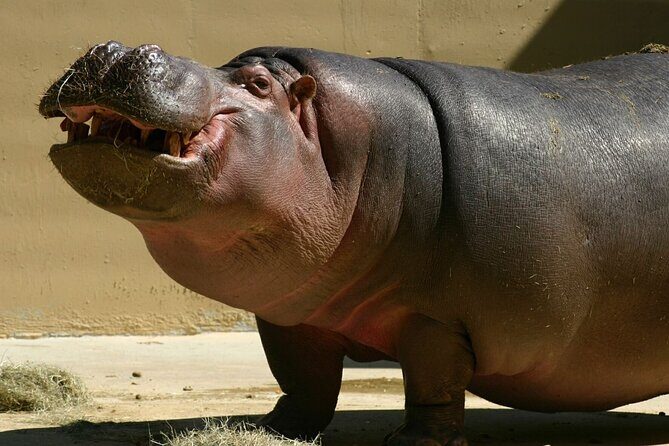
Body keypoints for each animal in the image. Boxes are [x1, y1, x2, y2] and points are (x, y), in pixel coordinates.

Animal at [39, 41, 669, 445]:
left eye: (258, 85)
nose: (117, 48)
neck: (353, 154)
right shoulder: (292, 314)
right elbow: (303, 380)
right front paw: (269, 428)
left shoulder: (433, 318)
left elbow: (434, 379)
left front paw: (414, 441)